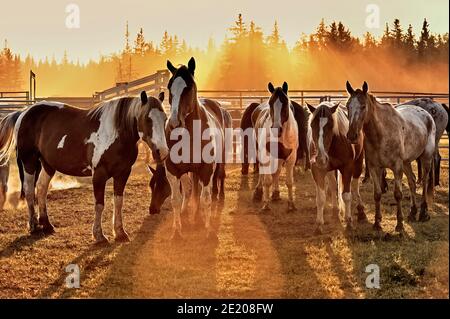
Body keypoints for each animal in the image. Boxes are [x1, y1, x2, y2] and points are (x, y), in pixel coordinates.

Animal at [0, 91, 169, 244]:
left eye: (165, 118)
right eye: (147, 118)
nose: (162, 151)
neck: (116, 133)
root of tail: (23, 112)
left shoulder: (123, 173)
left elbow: (118, 202)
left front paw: (120, 233)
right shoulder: (99, 175)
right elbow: (99, 205)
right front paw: (99, 235)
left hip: (48, 164)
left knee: (41, 189)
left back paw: (47, 225)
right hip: (29, 161)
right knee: (29, 190)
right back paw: (33, 225)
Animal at [163, 57, 227, 240]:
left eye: (189, 87)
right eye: (169, 87)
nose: (174, 123)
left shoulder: (206, 169)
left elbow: (205, 199)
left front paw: (208, 231)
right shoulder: (172, 170)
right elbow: (176, 199)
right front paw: (177, 232)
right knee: (190, 190)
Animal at [253, 82, 298, 212]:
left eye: (286, 103)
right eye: (270, 103)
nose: (276, 128)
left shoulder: (290, 157)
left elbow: (289, 181)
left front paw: (291, 204)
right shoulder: (266, 155)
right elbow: (267, 180)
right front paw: (266, 204)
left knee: (276, 172)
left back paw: (276, 193)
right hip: (259, 152)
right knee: (262, 172)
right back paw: (258, 192)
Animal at [306, 101, 366, 234]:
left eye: (330, 126)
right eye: (312, 125)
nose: (320, 158)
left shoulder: (347, 168)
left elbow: (346, 195)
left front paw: (349, 222)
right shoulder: (317, 170)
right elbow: (321, 198)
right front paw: (319, 225)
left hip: (358, 164)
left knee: (355, 186)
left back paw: (361, 211)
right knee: (333, 186)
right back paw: (335, 211)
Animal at [344, 81, 436, 232]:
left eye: (363, 106)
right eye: (347, 106)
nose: (352, 136)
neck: (381, 134)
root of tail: (427, 115)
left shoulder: (396, 167)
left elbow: (398, 194)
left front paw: (399, 224)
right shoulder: (374, 167)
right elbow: (377, 194)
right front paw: (377, 223)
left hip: (425, 158)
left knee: (425, 181)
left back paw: (423, 213)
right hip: (406, 163)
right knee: (412, 181)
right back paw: (412, 212)